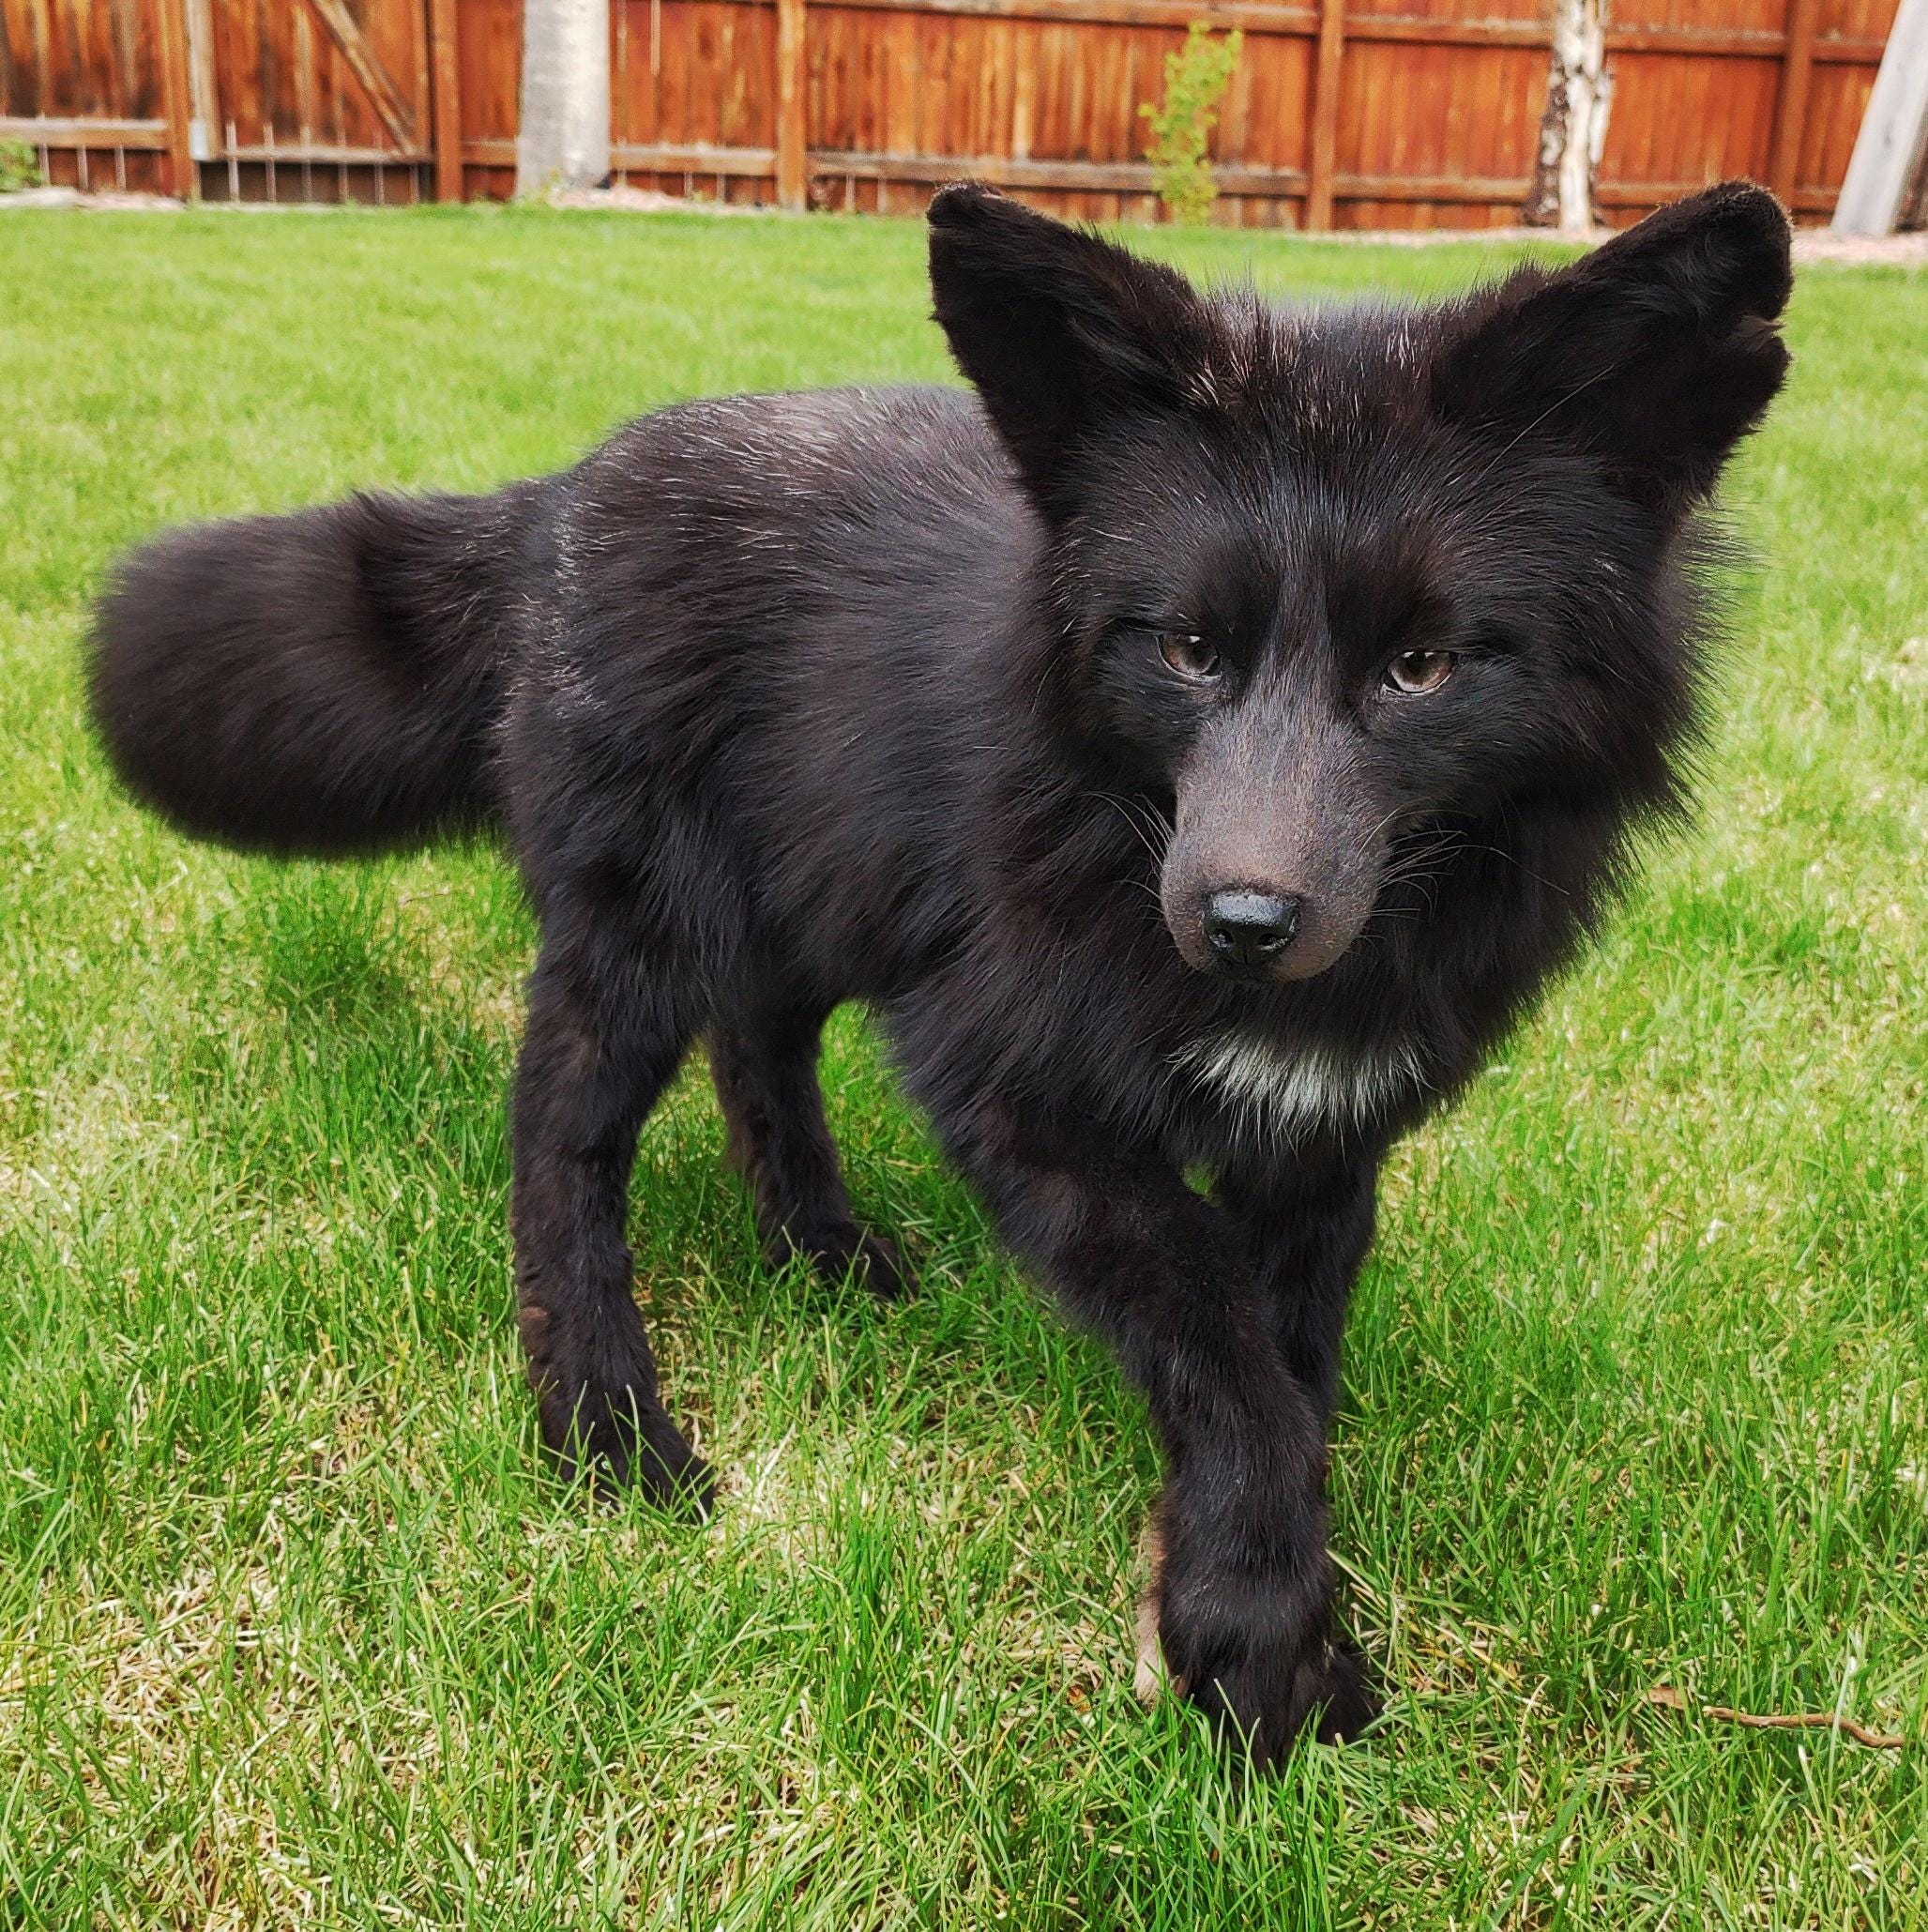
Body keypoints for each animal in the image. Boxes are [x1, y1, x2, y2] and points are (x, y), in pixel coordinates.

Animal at [88, 179, 1792, 1766]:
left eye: (1424, 664)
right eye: (1182, 644)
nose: (1239, 917)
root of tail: (556, 496)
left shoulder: (1320, 1145)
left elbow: (1285, 1376)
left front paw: (1249, 1598)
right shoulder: (1007, 1084)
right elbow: (1222, 1347)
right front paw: (1256, 1648)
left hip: (817, 898)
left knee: (761, 1044)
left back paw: (821, 1251)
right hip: (643, 937)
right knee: (561, 1136)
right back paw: (607, 1428)